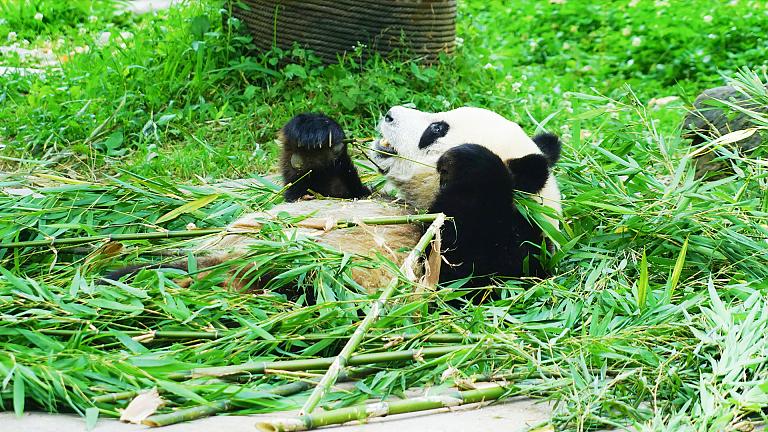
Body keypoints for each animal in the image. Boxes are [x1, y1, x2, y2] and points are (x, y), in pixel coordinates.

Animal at [107, 106, 561, 300]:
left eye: (436, 127)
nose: (390, 112)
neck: (420, 203)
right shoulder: (356, 198)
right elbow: (320, 191)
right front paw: (315, 134)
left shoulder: (514, 249)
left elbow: (475, 274)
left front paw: (470, 163)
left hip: (295, 283)